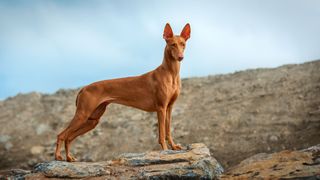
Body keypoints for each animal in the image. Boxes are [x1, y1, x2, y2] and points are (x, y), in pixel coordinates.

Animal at [55, 22, 191, 162]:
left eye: (183, 44)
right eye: (172, 44)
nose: (180, 57)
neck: (170, 73)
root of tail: (84, 88)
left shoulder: (169, 107)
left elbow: (168, 131)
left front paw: (173, 147)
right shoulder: (161, 108)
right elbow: (162, 133)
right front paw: (164, 150)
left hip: (92, 120)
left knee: (69, 137)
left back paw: (69, 158)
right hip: (82, 115)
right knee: (61, 135)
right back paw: (59, 156)